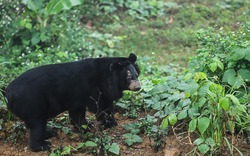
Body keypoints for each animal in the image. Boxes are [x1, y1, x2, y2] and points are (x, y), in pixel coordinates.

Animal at [5, 53, 141, 151]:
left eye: (136, 74)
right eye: (129, 77)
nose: (138, 87)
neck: (106, 76)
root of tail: (8, 93)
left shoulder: (77, 97)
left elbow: (78, 113)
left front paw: (86, 126)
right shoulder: (92, 89)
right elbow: (101, 107)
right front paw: (109, 123)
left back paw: (49, 133)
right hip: (33, 103)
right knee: (37, 124)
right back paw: (43, 145)